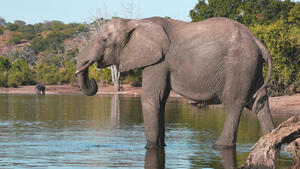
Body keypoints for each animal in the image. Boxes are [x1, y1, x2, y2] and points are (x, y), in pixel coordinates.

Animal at [75, 16, 274, 149]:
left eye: (104, 40)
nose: (93, 82)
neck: (134, 22)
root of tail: (257, 41)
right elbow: (161, 100)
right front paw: (160, 146)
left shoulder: (158, 61)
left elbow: (151, 98)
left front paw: (150, 147)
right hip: (252, 66)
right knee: (259, 103)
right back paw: (270, 140)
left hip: (238, 65)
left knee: (234, 103)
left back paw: (219, 146)